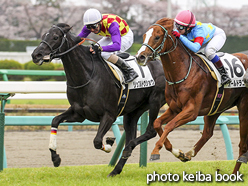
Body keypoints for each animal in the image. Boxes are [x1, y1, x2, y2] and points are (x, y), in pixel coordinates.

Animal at [31, 23, 167, 177]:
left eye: (55, 37)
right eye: (44, 36)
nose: (36, 55)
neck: (87, 76)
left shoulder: (109, 115)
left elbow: (97, 141)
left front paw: (109, 143)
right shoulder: (79, 114)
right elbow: (55, 120)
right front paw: (55, 158)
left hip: (155, 101)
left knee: (150, 132)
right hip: (133, 111)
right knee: (130, 138)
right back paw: (115, 170)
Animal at [136, 18, 248, 174]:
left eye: (157, 37)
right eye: (144, 35)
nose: (140, 57)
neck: (183, 72)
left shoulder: (191, 111)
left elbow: (170, 125)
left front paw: (155, 152)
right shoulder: (174, 109)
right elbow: (157, 123)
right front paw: (178, 152)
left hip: (243, 106)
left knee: (242, 145)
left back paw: (235, 172)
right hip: (215, 107)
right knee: (207, 132)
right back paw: (189, 153)